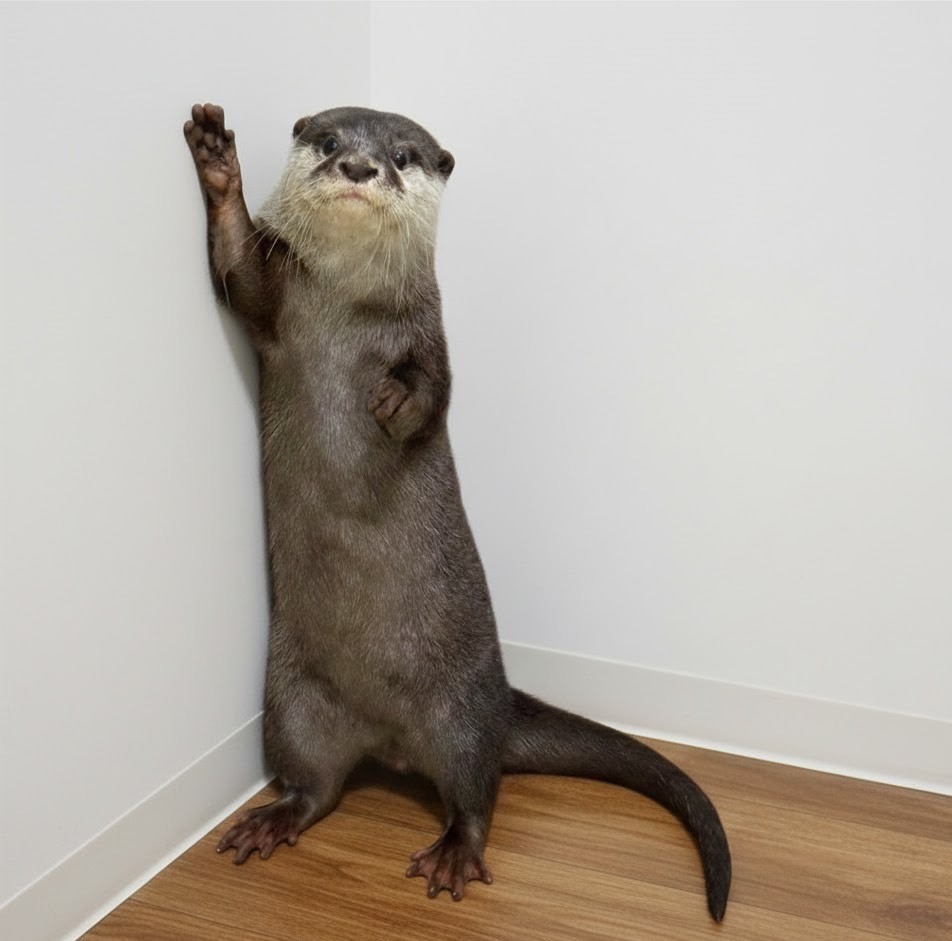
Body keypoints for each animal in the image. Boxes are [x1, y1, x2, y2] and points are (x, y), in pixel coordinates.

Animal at [183, 103, 731, 920]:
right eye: (329, 140)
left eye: (404, 155)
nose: (359, 167)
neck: (350, 307)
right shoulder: (274, 299)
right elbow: (238, 275)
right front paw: (218, 159)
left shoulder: (432, 337)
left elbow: (435, 393)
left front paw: (393, 399)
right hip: (290, 700)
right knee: (315, 786)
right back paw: (275, 818)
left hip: (460, 716)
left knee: (476, 793)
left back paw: (453, 853)